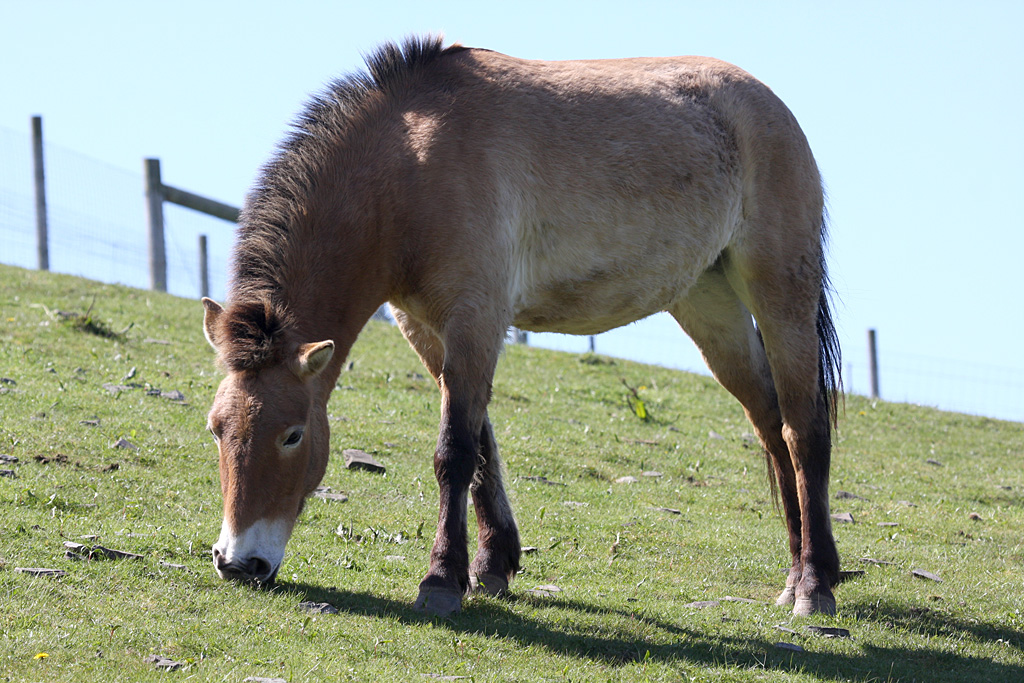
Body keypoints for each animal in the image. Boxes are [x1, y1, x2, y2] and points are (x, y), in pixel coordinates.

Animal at [202, 35, 842, 618]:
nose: (238, 563)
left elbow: (456, 450)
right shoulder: (426, 328)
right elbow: (482, 446)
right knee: (769, 422)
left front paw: (440, 581)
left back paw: (814, 588)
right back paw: (796, 573)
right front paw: (492, 565)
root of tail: (769, 106)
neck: (411, 163)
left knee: (803, 430)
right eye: (216, 429)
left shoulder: (476, 318)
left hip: (780, 293)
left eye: (292, 435)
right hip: (710, 306)